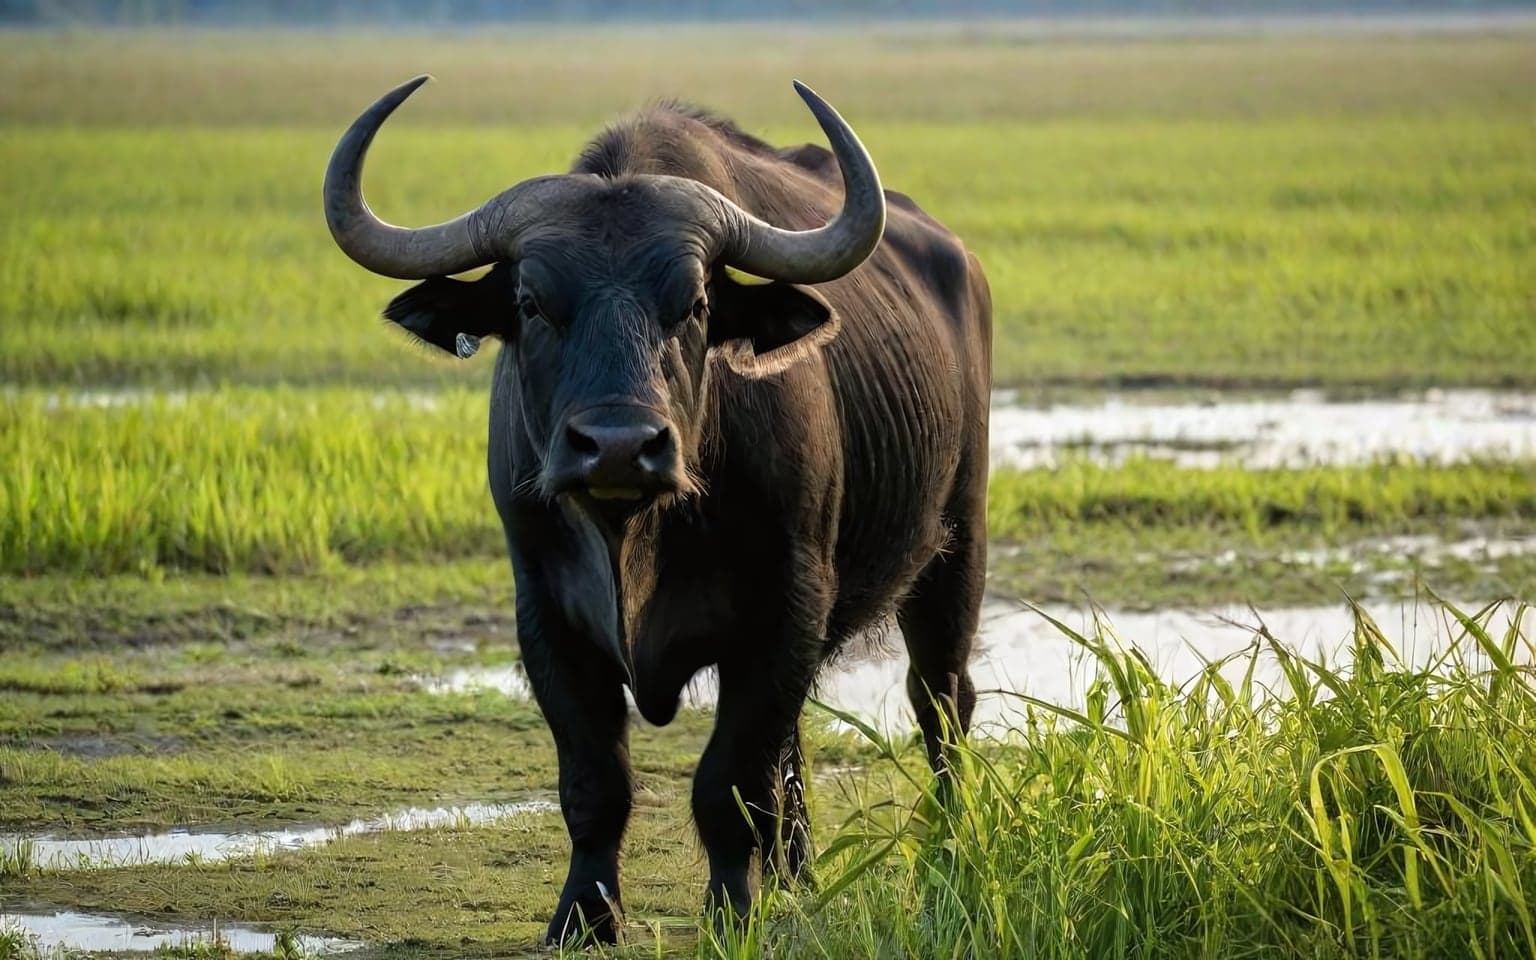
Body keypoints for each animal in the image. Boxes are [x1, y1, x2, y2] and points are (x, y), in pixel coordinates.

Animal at [323, 76, 992, 944]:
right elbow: (595, 782)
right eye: (531, 302)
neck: (634, 538)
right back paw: (796, 878)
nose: (616, 446)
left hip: (956, 547)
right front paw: (583, 917)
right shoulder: (546, 620)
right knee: (799, 746)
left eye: (697, 302)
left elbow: (728, 782)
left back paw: (945, 847)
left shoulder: (786, 607)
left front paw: (732, 910)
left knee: (939, 701)